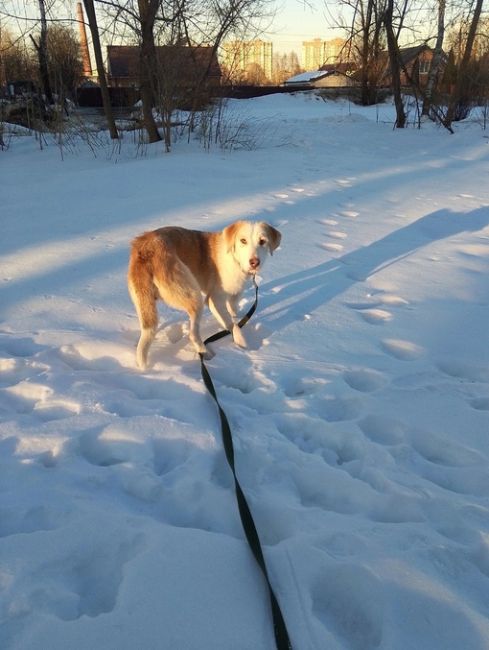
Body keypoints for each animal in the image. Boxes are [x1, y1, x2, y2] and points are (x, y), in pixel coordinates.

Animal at [127, 220, 280, 368]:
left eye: (262, 241)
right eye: (243, 240)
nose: (254, 262)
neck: (234, 258)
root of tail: (145, 251)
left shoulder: (234, 294)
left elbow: (233, 309)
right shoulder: (214, 300)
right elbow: (233, 325)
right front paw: (242, 344)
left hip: (143, 301)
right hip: (194, 297)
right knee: (192, 334)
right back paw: (206, 353)